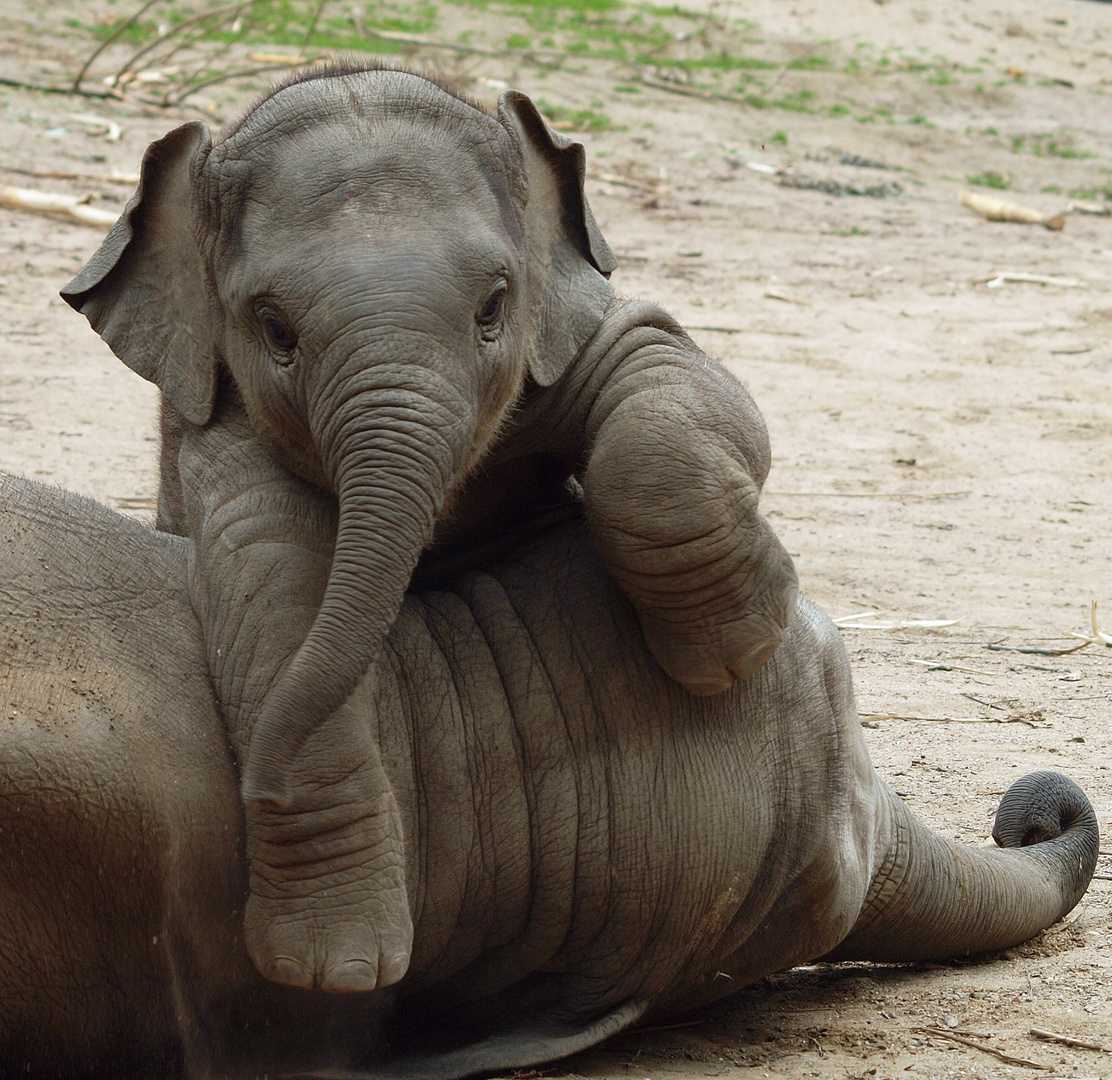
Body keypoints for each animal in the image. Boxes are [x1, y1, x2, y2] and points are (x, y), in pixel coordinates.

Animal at [65, 67, 800, 992]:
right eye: (275, 329)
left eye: (493, 306)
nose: (258, 789)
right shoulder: (218, 433)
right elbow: (276, 589)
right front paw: (335, 971)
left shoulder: (571, 329)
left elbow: (657, 364)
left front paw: (736, 652)